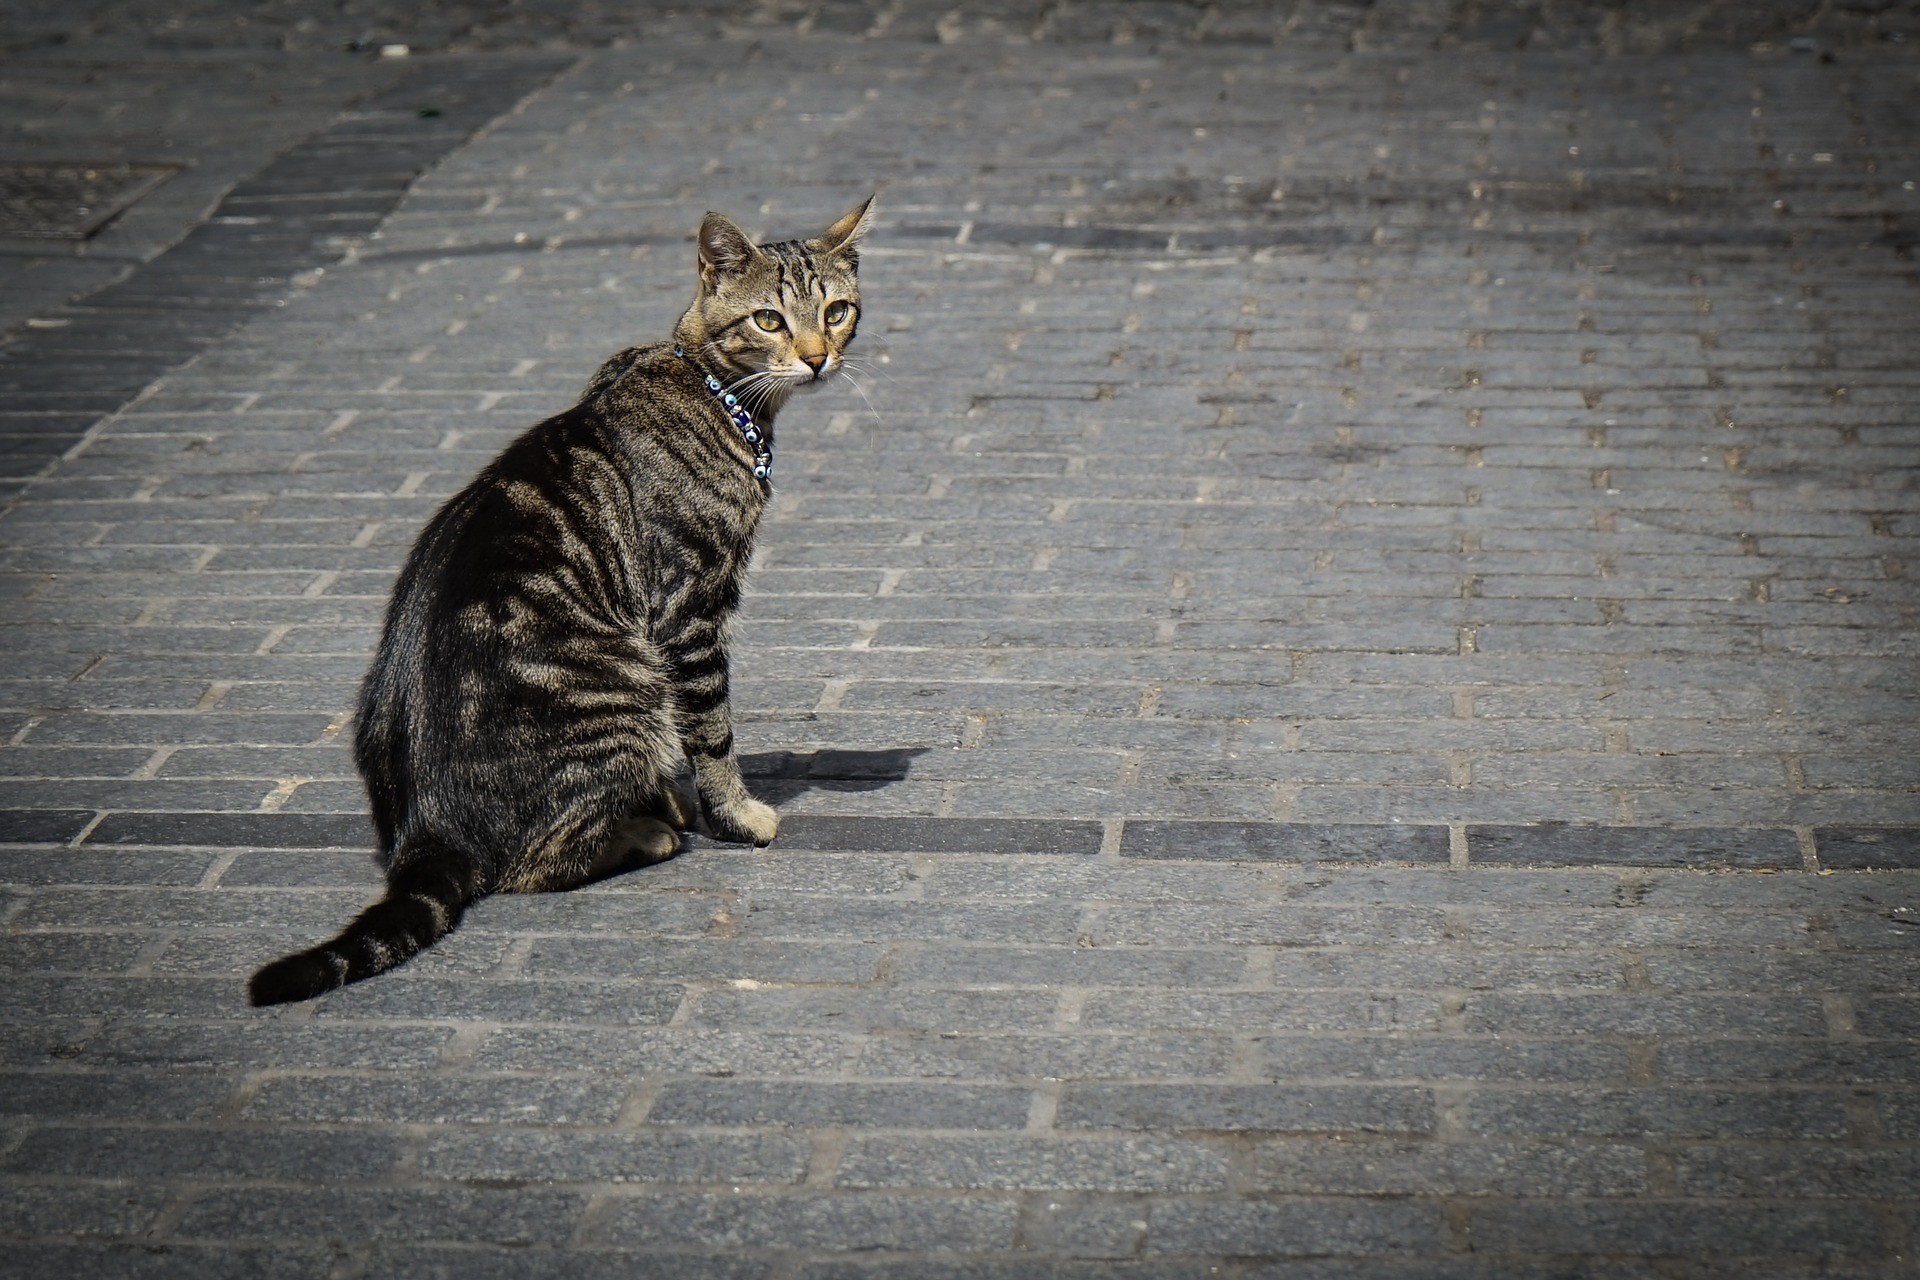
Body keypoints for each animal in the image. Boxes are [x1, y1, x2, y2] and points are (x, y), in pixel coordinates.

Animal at [245, 195, 871, 1005]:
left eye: (835, 311)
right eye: (768, 319)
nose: (817, 356)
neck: (711, 387)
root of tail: (426, 829)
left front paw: (667, 796)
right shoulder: (688, 609)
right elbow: (711, 732)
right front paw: (733, 815)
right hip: (625, 681)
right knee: (531, 866)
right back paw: (642, 835)